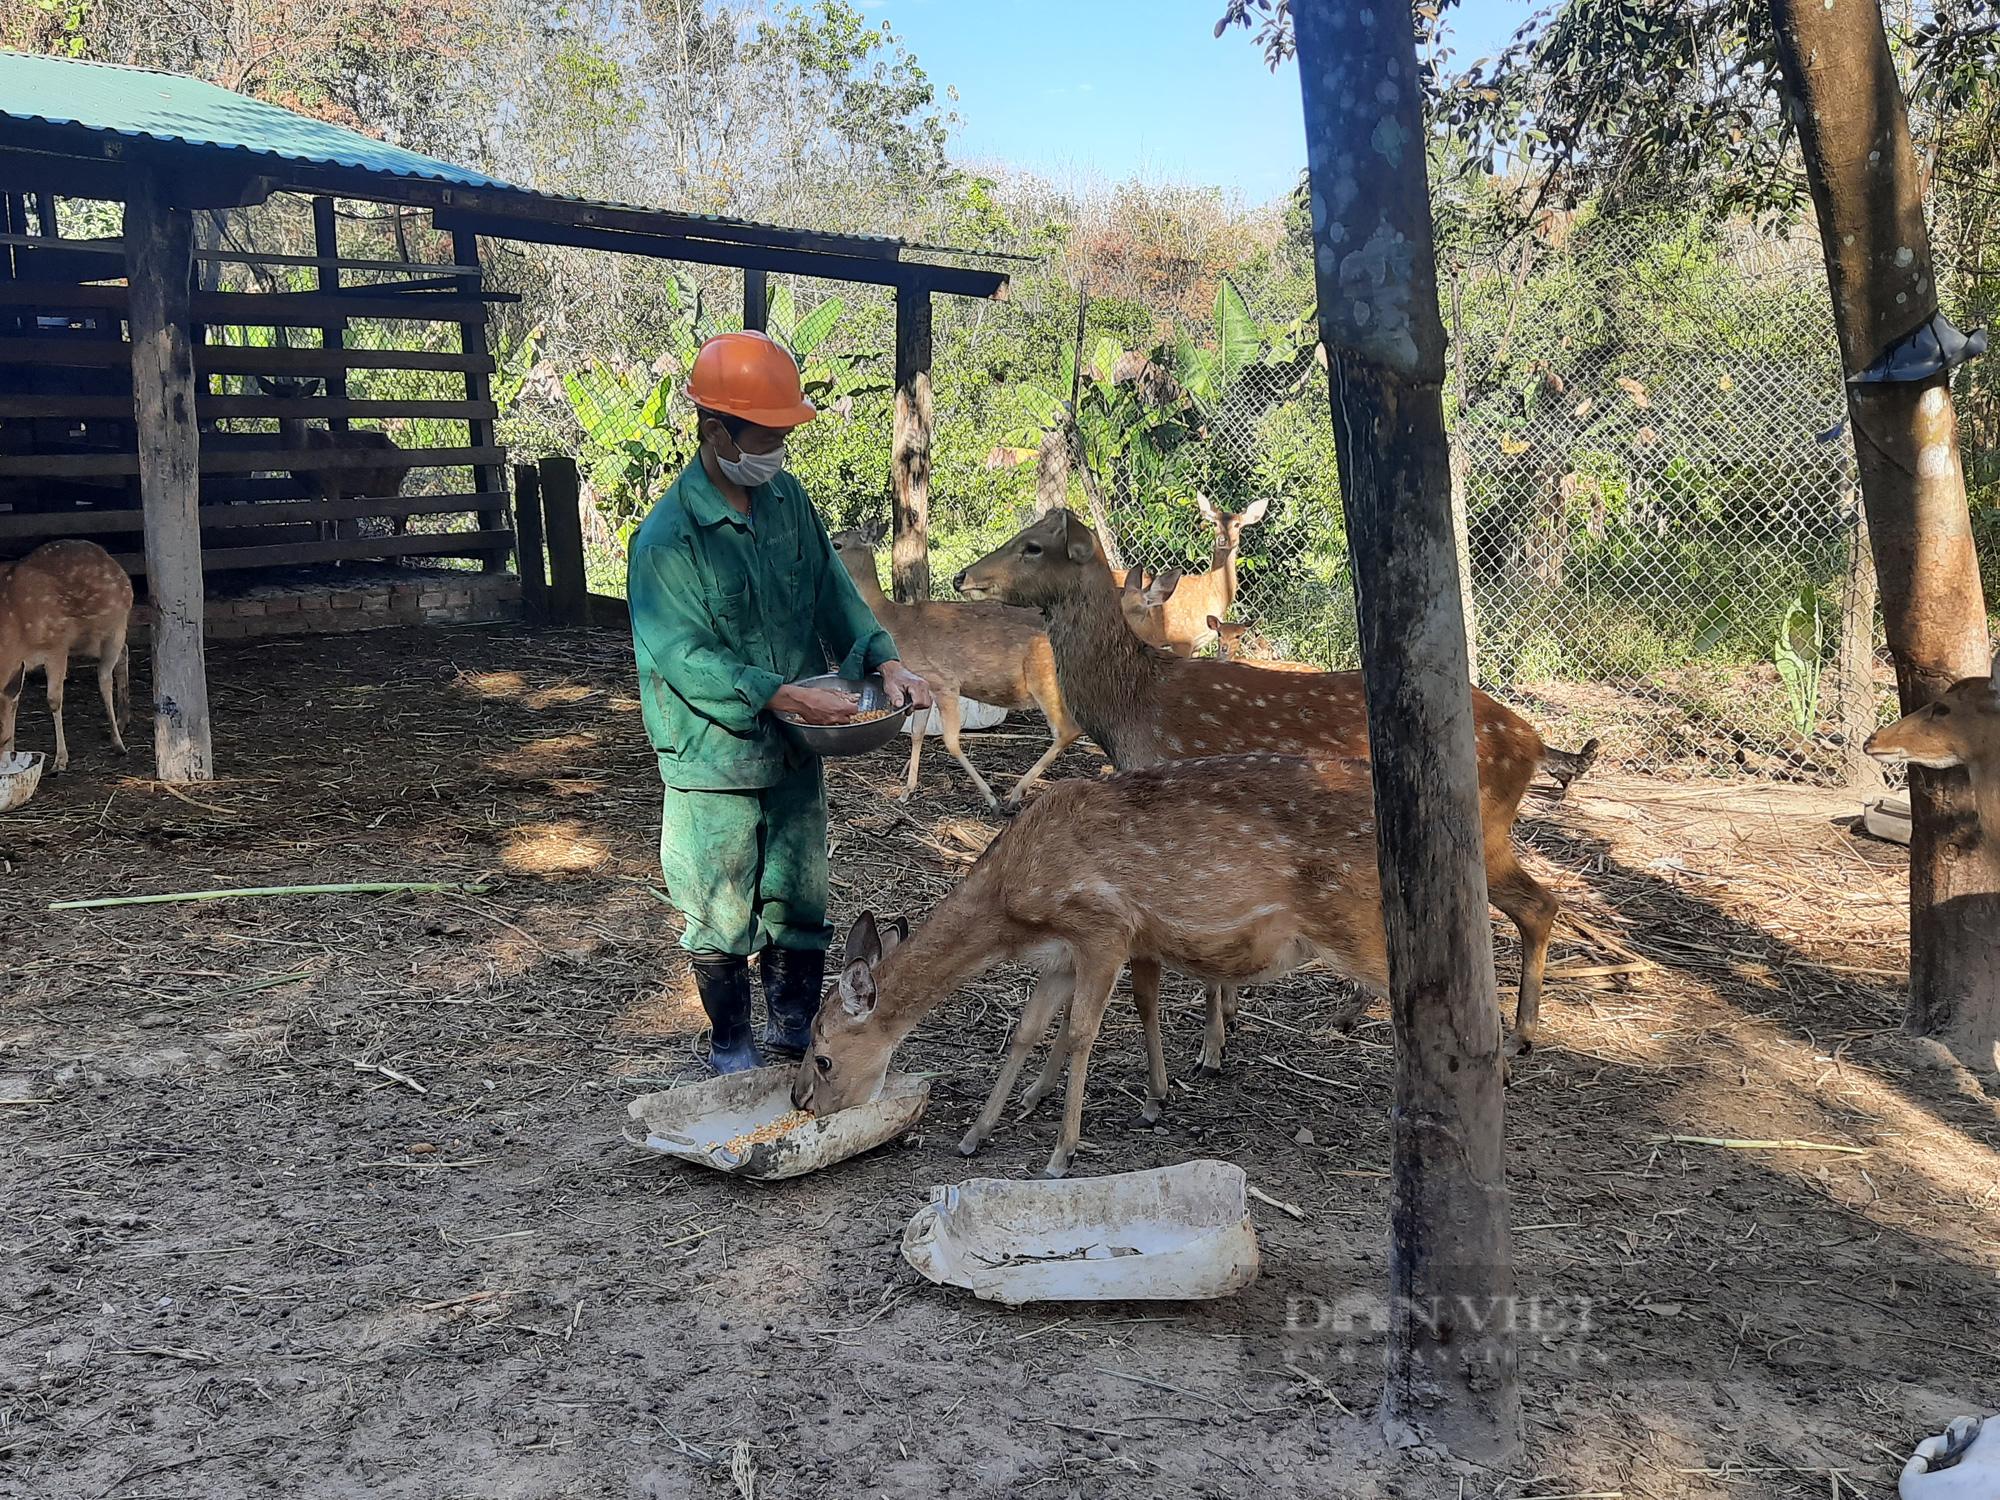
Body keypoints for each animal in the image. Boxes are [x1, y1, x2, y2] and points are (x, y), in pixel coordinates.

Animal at [0, 540, 133, 776]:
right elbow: (13, 701)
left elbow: (53, 700)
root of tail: (110, 559)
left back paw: (118, 742)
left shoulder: (57, 647)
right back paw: (122, 720)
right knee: (123, 654)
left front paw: (60, 761)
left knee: (105, 677)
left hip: (115, 626)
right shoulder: (18, 665)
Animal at [258, 376, 414, 540]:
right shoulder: (311, 488)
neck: (306, 446)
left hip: (388, 483)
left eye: (298, 395)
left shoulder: (331, 482)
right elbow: (318, 522)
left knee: (401, 516)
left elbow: (333, 522)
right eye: (277, 395)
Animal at [788, 756, 1384, 1184]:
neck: (1013, 910)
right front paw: (976, 1134)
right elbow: (1026, 1030)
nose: (805, 1105)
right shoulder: (1062, 953)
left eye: (822, 1057)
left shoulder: (1104, 929)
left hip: (1362, 927)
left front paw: (1062, 1153)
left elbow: (1080, 1034)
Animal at [824, 528, 1088, 812]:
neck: (893, 623)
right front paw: (906, 792)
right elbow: (917, 733)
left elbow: (950, 740)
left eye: (837, 544)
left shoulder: (944, 681)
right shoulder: (923, 683)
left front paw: (990, 797)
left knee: (1068, 729)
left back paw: (1014, 794)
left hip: (1043, 677)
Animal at [952, 506, 1592, 1056]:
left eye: (1033, 546)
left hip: (1482, 827)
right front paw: (1227, 1023)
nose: (963, 575)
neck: (1132, 709)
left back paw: (1516, 1034)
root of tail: (1534, 744)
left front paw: (1212, 1044)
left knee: (1537, 905)